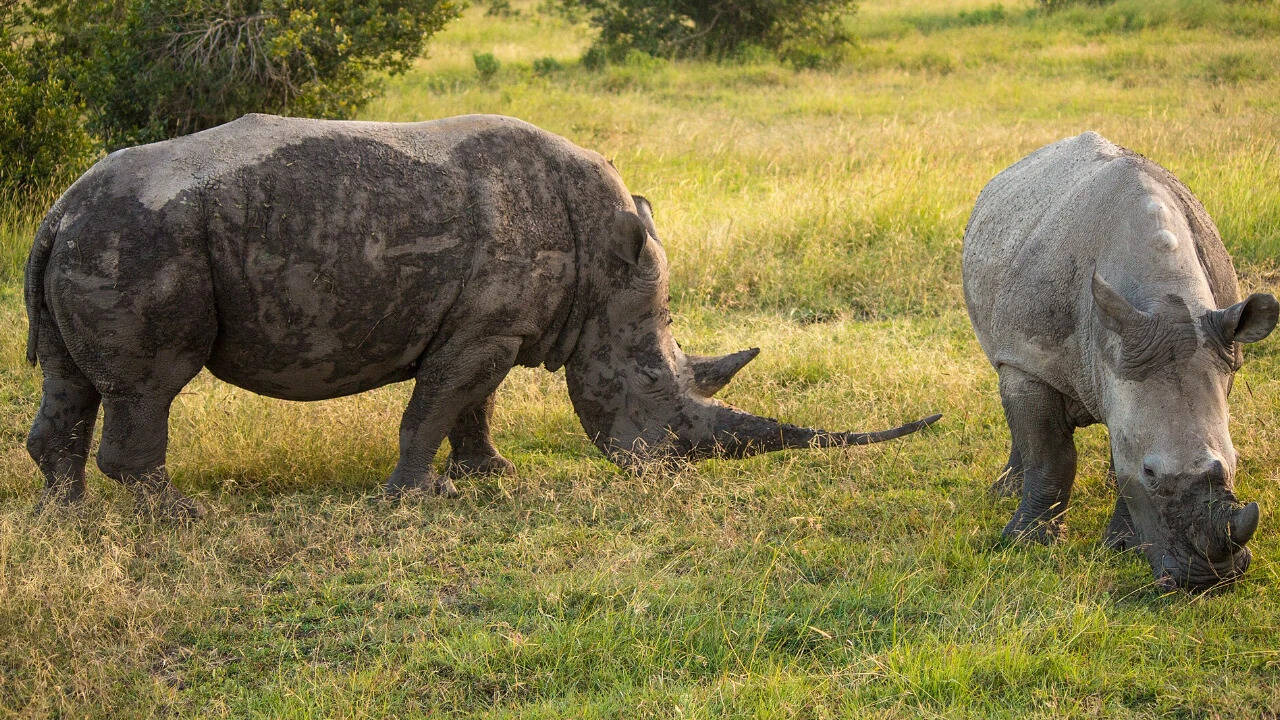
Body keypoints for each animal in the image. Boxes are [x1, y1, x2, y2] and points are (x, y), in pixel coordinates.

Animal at [24, 113, 940, 517]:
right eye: (656, 393)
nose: (668, 472)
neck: (604, 264)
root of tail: (58, 208)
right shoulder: (485, 328)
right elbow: (433, 407)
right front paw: (407, 498)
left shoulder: (496, 324)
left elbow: (473, 406)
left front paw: (489, 475)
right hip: (139, 238)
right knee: (152, 383)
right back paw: (177, 517)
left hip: (99, 235)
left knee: (72, 382)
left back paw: (66, 515)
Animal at [963, 131, 1277, 591]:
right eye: (1151, 473)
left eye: (1235, 463)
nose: (1209, 580)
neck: (1164, 297)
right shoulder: (1031, 358)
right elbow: (1050, 454)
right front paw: (1028, 543)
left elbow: (1120, 452)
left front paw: (1122, 548)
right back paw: (1004, 493)